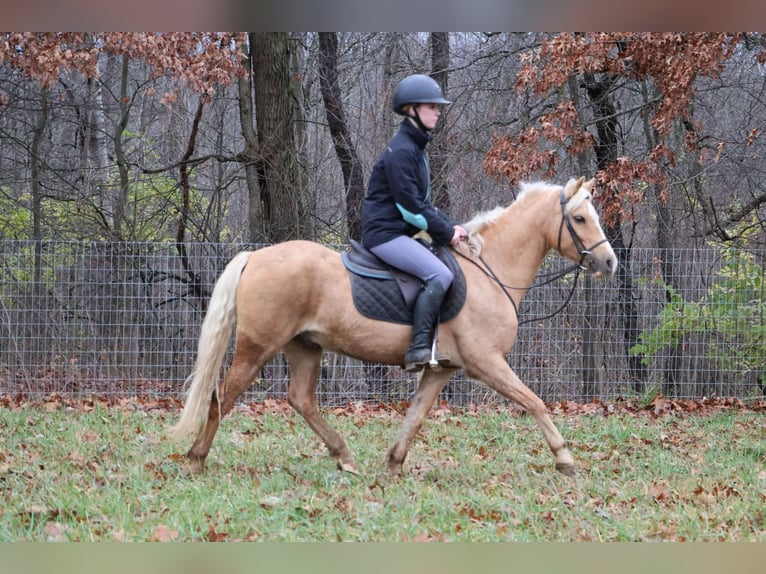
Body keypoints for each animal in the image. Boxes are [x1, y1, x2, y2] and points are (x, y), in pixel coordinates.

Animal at [170, 178, 616, 480]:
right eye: (579, 218)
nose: (610, 263)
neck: (488, 271)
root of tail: (256, 256)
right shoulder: (486, 363)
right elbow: (534, 402)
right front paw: (565, 459)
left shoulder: (442, 370)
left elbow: (416, 416)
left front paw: (394, 463)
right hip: (257, 347)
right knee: (221, 398)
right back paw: (195, 458)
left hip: (303, 347)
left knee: (301, 399)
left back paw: (344, 456)